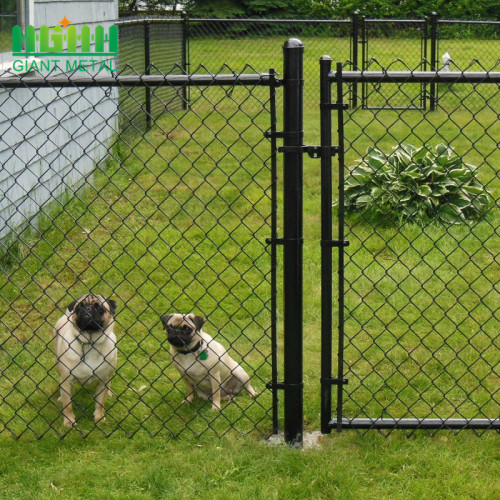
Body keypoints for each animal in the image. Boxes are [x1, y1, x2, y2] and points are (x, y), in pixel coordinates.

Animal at [52, 294, 117, 428]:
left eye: (99, 307)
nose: (88, 308)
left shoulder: (102, 380)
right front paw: (69, 422)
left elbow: (100, 402)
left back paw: (109, 392)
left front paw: (99, 418)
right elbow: (68, 405)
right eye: (80, 307)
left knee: (109, 381)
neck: (90, 342)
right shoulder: (67, 380)